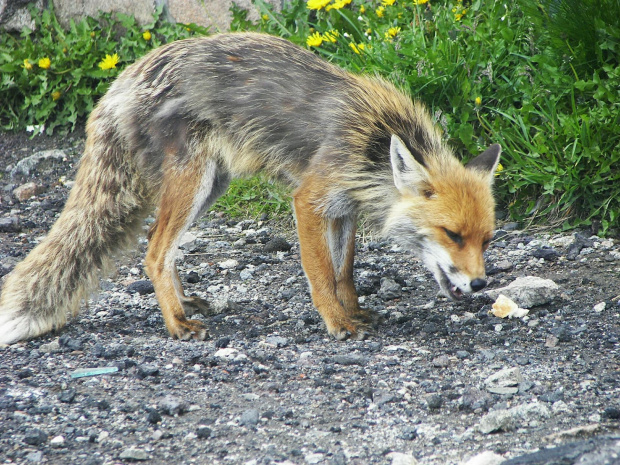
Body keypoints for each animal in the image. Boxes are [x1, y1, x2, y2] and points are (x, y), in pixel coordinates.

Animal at [0, 32, 498, 342]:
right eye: (452, 235)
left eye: (487, 240)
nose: (479, 284)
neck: (372, 140)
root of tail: (122, 80)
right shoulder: (310, 198)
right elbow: (321, 273)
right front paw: (337, 323)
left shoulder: (343, 208)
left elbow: (344, 271)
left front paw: (353, 310)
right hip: (193, 183)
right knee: (155, 252)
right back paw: (176, 324)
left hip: (209, 187)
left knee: (159, 242)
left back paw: (185, 303)